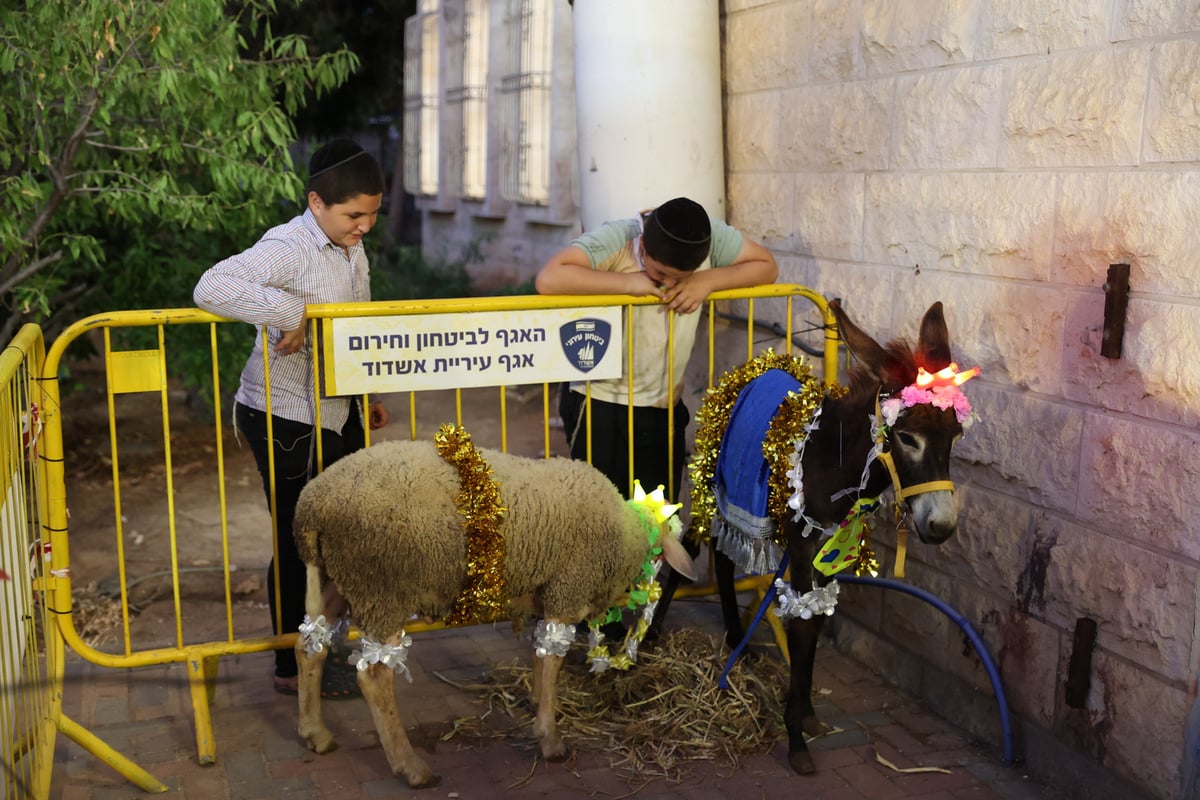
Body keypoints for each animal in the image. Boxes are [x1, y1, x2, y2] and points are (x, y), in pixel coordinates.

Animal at [289, 424, 696, 786]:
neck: (627, 530)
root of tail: (313, 506)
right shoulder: (567, 590)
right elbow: (553, 662)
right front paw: (549, 737)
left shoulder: (543, 590)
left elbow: (541, 654)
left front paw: (534, 700)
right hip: (383, 589)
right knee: (374, 675)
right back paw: (410, 767)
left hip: (338, 579)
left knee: (309, 646)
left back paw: (315, 733)